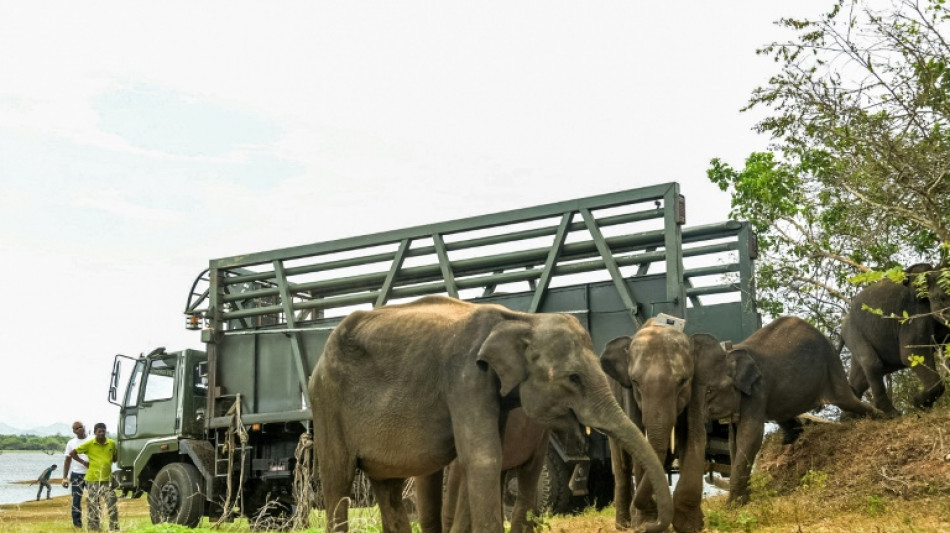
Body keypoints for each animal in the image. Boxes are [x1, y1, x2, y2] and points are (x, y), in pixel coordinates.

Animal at [309, 295, 672, 533]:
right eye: (574, 378)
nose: (648, 525)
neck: (519, 319)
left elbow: (487, 460)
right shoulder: (466, 380)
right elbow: (484, 459)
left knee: (388, 488)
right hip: (327, 403)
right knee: (337, 481)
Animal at [601, 318, 707, 533]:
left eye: (683, 381)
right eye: (635, 382)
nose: (647, 528)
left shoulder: (697, 388)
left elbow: (696, 437)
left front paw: (690, 526)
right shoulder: (628, 395)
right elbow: (638, 441)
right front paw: (643, 521)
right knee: (622, 466)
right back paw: (623, 525)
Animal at [695, 316, 881, 504]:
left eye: (710, 390)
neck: (729, 351)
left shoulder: (757, 391)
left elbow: (750, 436)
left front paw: (733, 505)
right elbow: (734, 441)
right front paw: (740, 501)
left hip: (831, 367)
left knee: (847, 400)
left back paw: (883, 417)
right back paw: (792, 438)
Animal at [842, 263, 950, 415]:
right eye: (941, 298)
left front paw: (919, 403)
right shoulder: (914, 314)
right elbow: (910, 353)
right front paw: (917, 402)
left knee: (860, 378)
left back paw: (851, 417)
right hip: (853, 332)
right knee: (872, 364)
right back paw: (891, 414)